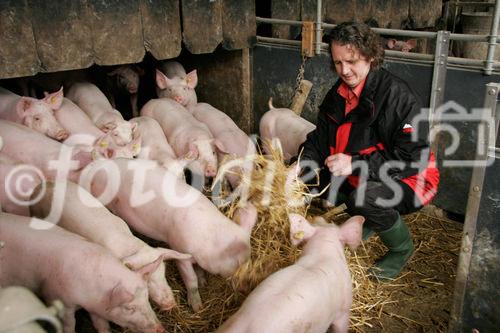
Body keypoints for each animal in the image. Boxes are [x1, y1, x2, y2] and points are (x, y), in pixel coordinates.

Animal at [0, 213, 165, 332]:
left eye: (147, 298)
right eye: (129, 308)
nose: (160, 329)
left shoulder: (97, 307)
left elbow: (101, 324)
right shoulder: (57, 299)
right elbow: (69, 325)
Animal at [81, 158, 258, 312]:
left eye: (249, 260)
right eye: (238, 263)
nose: (246, 287)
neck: (209, 240)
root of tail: (97, 166)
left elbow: (199, 272)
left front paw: (203, 282)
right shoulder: (180, 250)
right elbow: (191, 280)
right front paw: (197, 307)